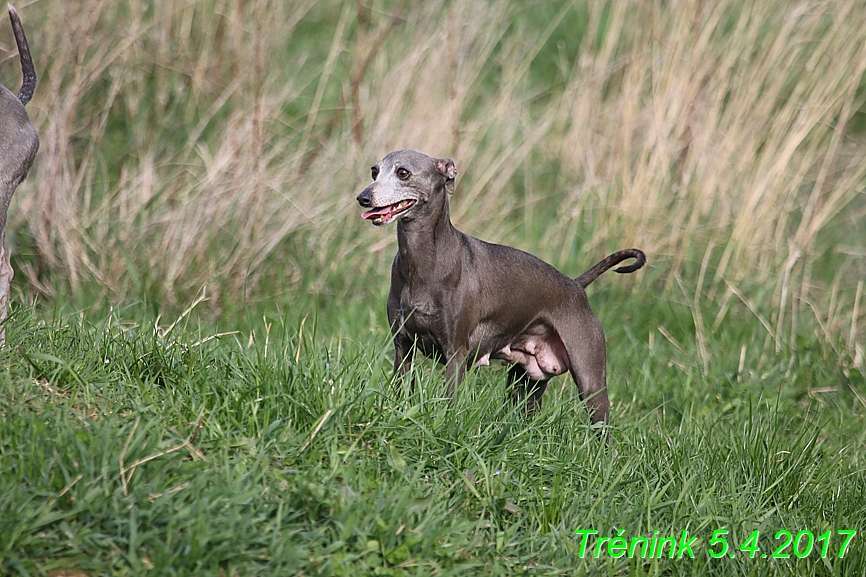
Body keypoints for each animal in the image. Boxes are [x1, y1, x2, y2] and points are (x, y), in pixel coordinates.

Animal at [354, 150, 644, 440]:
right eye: (374, 171)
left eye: (403, 172)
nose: (363, 197)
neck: (423, 263)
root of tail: (575, 285)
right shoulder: (403, 347)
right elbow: (402, 391)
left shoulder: (455, 355)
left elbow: (450, 402)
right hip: (526, 383)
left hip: (590, 380)